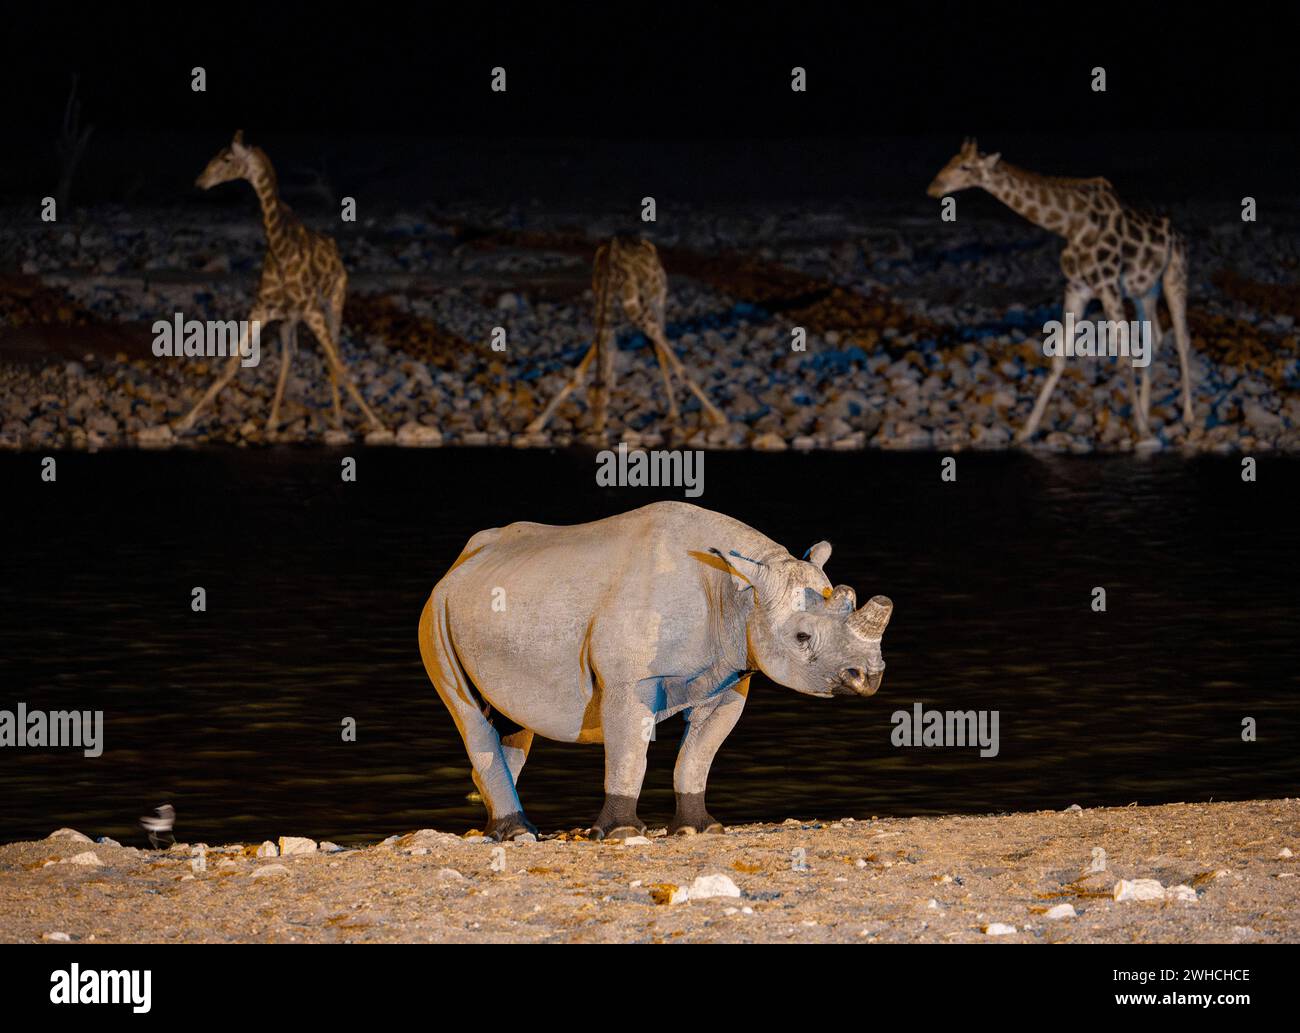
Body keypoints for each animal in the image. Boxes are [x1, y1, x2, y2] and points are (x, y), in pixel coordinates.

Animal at [171, 130, 379, 436]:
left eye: (227, 158)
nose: (200, 181)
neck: (280, 249)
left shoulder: (312, 311)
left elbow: (338, 364)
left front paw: (378, 423)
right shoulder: (262, 309)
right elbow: (231, 364)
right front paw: (185, 421)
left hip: (334, 303)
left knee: (333, 356)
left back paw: (339, 419)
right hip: (289, 319)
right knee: (290, 355)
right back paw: (273, 421)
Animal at [527, 237, 733, 436]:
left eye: (607, 403)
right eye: (588, 404)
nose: (598, 429)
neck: (609, 278)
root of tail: (646, 245)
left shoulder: (634, 309)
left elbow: (680, 368)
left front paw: (719, 417)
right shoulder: (605, 315)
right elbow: (579, 373)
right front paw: (535, 425)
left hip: (656, 301)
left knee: (661, 350)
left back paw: (675, 412)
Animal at [930, 138, 1190, 439]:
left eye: (965, 167)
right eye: (951, 161)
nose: (933, 187)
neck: (1071, 226)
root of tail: (1177, 235)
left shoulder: (1108, 286)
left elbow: (1124, 357)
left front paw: (1144, 433)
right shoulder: (1077, 288)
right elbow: (1058, 358)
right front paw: (1026, 431)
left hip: (1175, 276)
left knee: (1181, 339)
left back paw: (1188, 417)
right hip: (1144, 290)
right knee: (1154, 338)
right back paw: (1148, 413)